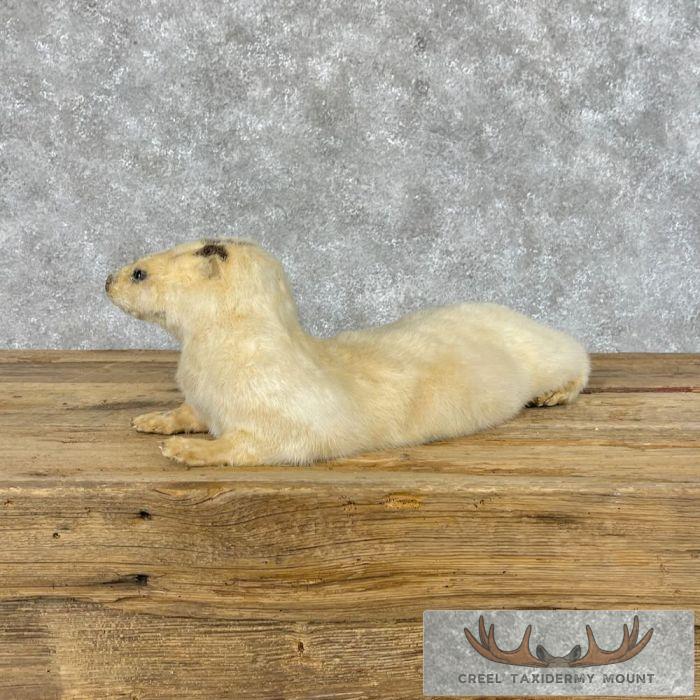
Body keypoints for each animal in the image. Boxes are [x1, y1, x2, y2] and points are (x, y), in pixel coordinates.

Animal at [105, 238, 590, 466]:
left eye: (139, 272)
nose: (106, 280)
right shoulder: (202, 399)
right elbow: (188, 412)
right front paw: (152, 420)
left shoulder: (291, 415)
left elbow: (255, 444)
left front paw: (183, 450)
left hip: (547, 351)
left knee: (580, 356)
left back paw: (553, 395)